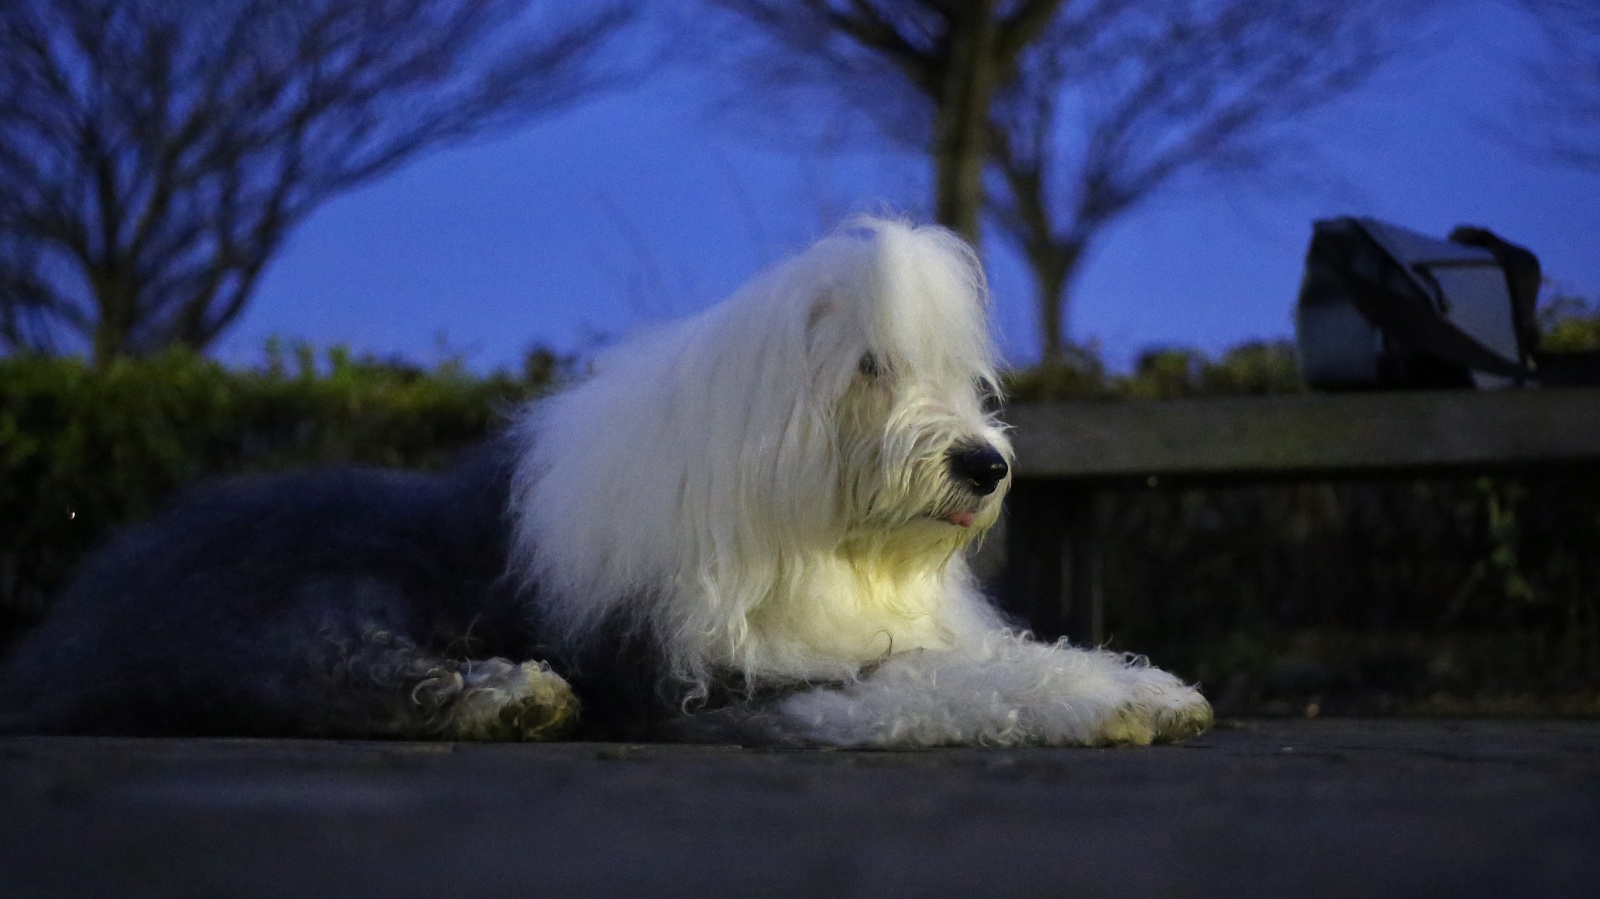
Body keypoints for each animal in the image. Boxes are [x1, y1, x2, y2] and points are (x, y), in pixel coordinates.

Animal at [0, 219, 1212, 746]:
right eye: (871, 367)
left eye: (967, 382)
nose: (984, 462)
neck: (810, 531)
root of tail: (75, 623)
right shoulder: (720, 672)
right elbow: (920, 685)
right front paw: (1103, 703)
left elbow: (987, 656)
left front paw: (1146, 687)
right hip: (310, 600)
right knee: (343, 670)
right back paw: (510, 694)